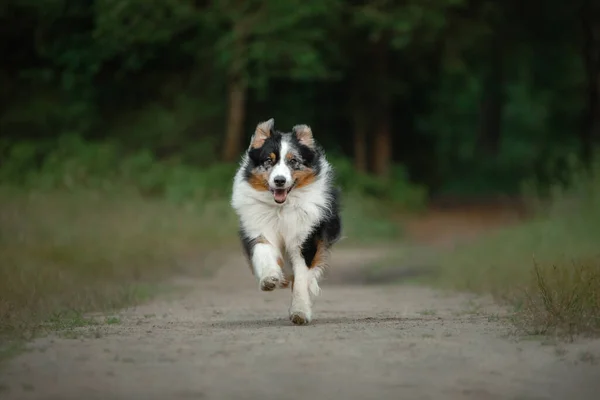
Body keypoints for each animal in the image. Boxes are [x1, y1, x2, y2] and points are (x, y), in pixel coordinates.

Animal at [231, 117, 342, 324]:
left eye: (293, 161)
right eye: (269, 160)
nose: (280, 180)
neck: (281, 208)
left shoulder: (305, 239)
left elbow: (301, 277)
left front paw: (300, 311)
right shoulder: (259, 228)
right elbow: (263, 251)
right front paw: (269, 278)